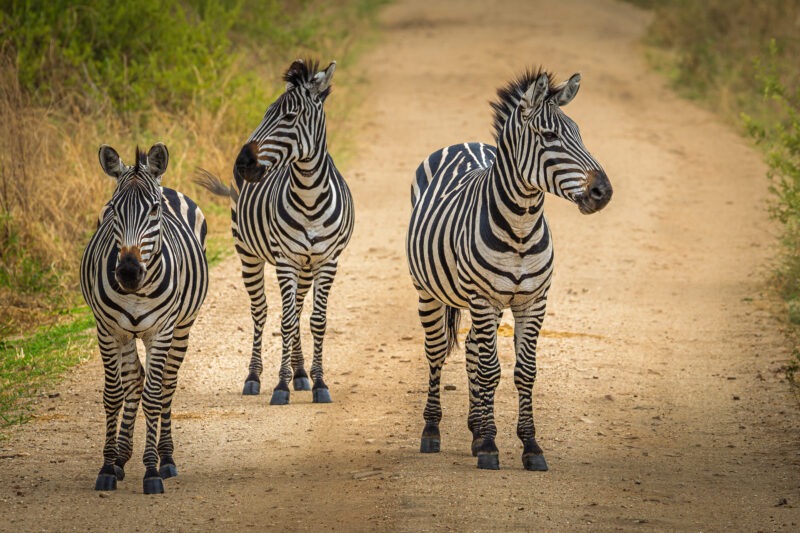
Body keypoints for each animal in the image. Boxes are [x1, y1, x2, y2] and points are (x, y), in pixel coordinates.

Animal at [79, 143, 206, 492]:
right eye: (114, 211)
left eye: (154, 210)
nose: (128, 272)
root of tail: (169, 186)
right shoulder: (108, 331)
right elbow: (114, 395)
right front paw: (108, 466)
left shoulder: (160, 332)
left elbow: (153, 396)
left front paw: (151, 470)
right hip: (126, 335)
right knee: (134, 380)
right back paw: (122, 458)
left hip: (182, 328)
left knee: (166, 385)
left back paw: (167, 458)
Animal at [195, 58, 352, 406]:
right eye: (266, 112)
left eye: (289, 117)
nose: (242, 164)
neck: (310, 198)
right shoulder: (285, 261)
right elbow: (286, 321)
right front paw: (281, 386)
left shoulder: (327, 262)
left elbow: (315, 320)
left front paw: (319, 382)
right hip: (249, 255)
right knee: (261, 311)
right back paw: (254, 377)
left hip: (305, 267)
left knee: (297, 310)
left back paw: (301, 374)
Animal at [406, 66, 612, 470]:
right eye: (549, 136)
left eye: (579, 133)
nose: (604, 192)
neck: (520, 226)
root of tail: (464, 143)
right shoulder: (484, 299)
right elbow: (490, 370)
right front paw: (489, 445)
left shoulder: (533, 302)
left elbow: (524, 372)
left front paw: (528, 445)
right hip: (429, 292)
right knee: (437, 352)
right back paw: (433, 430)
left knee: (472, 348)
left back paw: (474, 427)